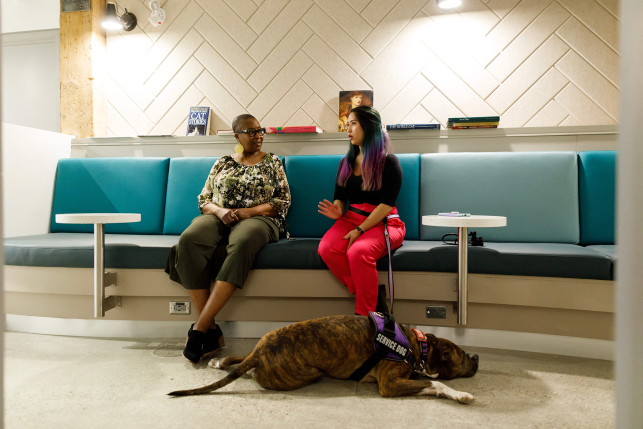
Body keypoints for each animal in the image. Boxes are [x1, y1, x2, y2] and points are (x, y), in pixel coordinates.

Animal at [169, 314, 480, 402]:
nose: (476, 355)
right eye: (463, 355)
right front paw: (460, 394)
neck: (418, 345)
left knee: (240, 358)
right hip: (310, 372)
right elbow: (435, 383)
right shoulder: (390, 385)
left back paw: (219, 362)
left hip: (264, 341)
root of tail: (261, 353)